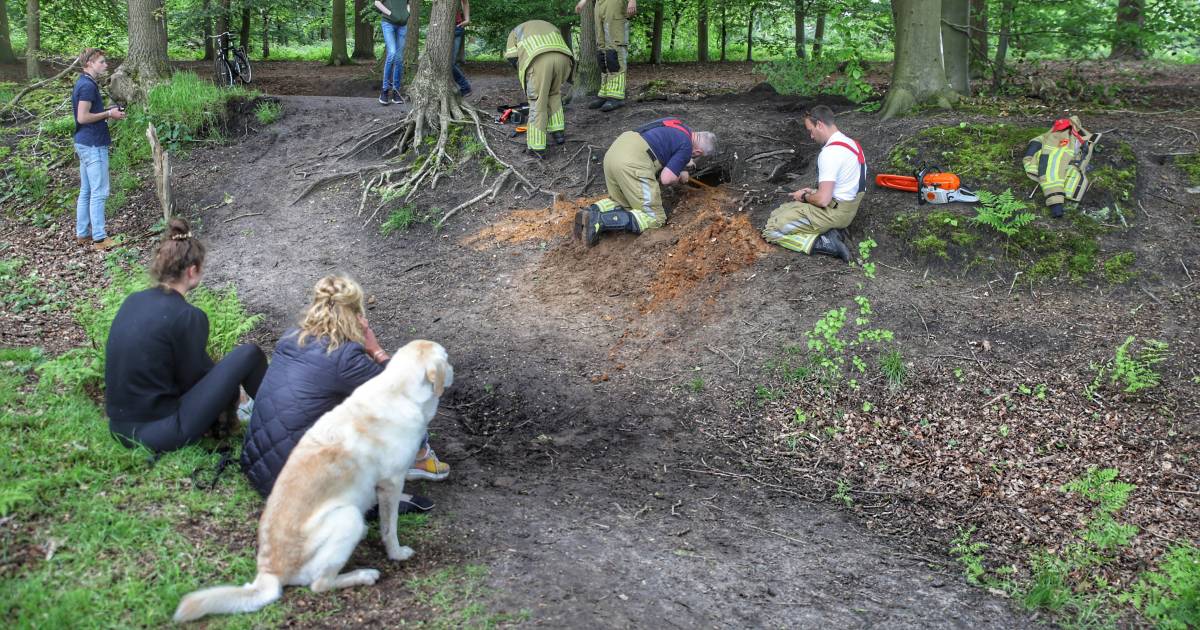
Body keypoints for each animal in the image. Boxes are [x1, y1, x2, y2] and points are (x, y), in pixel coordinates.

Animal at [176, 338, 453, 619]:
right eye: (447, 359)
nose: (453, 370)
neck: (398, 391)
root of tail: (269, 573)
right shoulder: (391, 483)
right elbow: (390, 528)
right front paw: (397, 553)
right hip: (347, 517)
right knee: (320, 584)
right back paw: (363, 574)